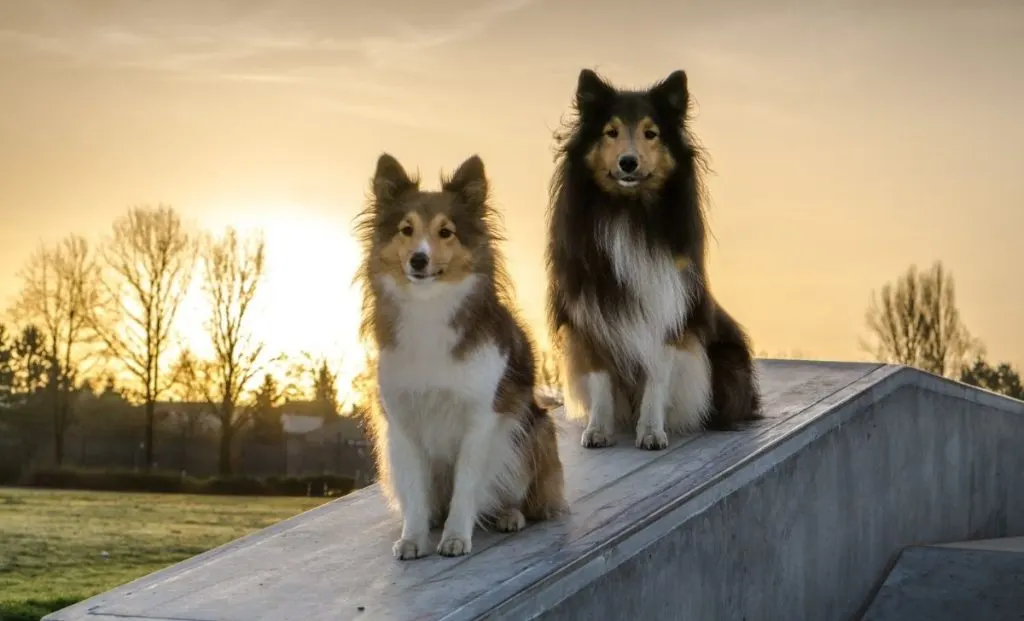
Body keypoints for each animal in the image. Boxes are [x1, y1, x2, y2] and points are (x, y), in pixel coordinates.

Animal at [354, 153, 565, 561]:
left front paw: (455, 537)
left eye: (446, 232)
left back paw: (509, 514)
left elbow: (467, 486)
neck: (429, 308)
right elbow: (416, 493)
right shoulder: (403, 424)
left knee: (523, 499)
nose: (419, 260)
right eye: (406, 230)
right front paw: (414, 538)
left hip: (532, 432)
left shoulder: (480, 420)